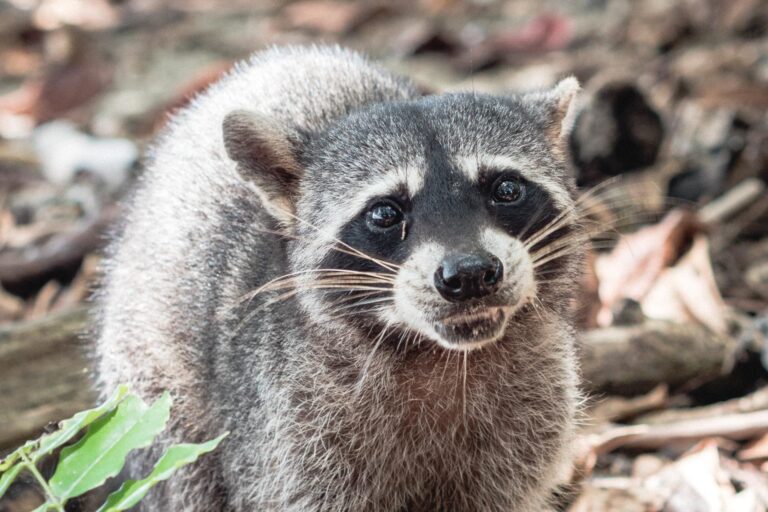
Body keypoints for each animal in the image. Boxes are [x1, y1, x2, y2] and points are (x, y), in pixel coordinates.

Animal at [95, 45, 583, 511]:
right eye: (385, 213)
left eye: (506, 189)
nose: (470, 273)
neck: (441, 358)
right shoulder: (286, 435)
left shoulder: (530, 419)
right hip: (152, 387)